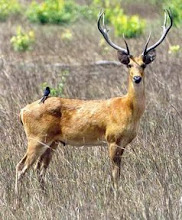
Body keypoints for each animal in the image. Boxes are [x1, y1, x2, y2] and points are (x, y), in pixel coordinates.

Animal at [15, 9, 172, 199]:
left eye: (143, 65)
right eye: (128, 65)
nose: (137, 78)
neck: (128, 109)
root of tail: (22, 111)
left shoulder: (123, 143)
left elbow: (118, 172)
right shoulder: (112, 139)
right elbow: (114, 173)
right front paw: (116, 196)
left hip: (51, 142)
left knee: (40, 169)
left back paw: (45, 196)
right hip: (36, 137)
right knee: (21, 166)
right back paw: (18, 199)